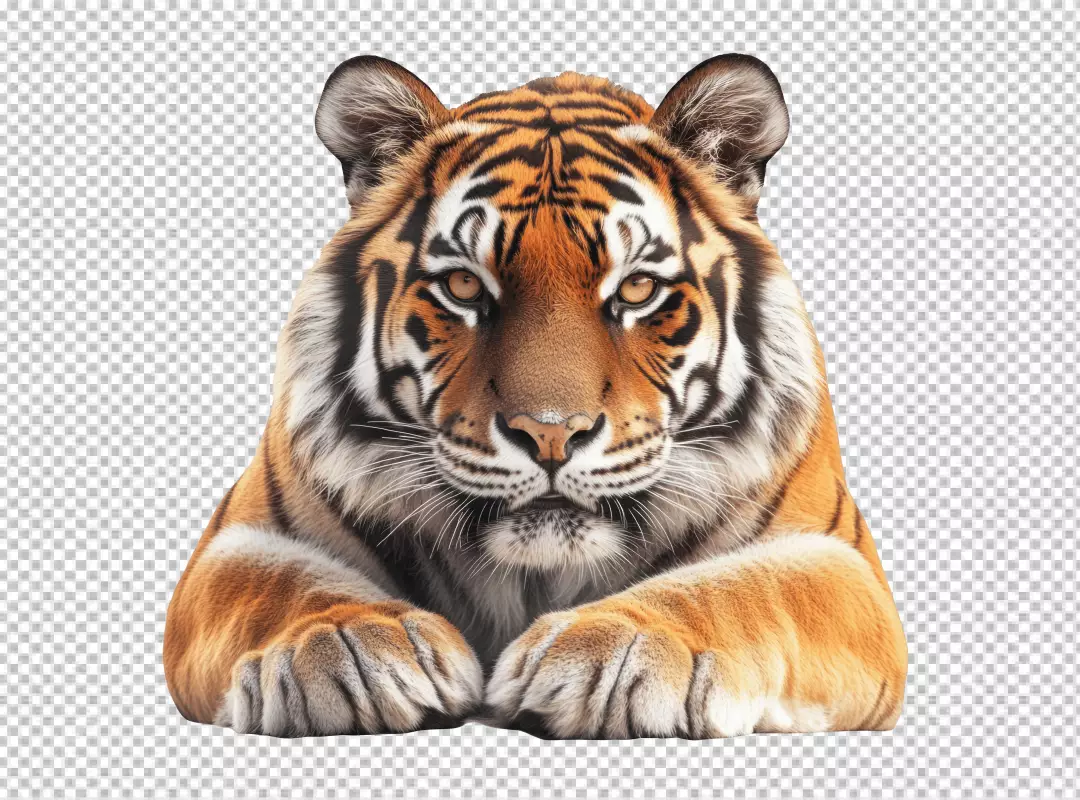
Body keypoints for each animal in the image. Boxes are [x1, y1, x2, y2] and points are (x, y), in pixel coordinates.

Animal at [163, 53, 907, 739]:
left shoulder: (843, 565)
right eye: (464, 286)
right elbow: (281, 584)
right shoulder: (233, 540)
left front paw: (615, 653)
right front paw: (349, 645)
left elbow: (742, 587)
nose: (551, 433)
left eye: (637, 289)